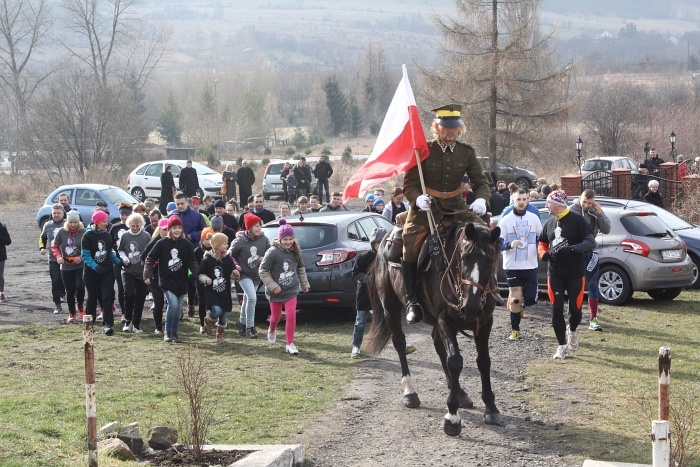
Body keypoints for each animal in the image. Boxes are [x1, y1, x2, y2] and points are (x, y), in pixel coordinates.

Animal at [366, 221, 504, 436]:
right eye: (463, 258)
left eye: (490, 260)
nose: (471, 307)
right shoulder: (445, 320)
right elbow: (455, 361)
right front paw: (452, 417)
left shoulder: (484, 322)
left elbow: (483, 361)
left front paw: (491, 407)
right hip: (390, 308)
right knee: (400, 343)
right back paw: (410, 392)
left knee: (438, 344)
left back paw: (460, 392)